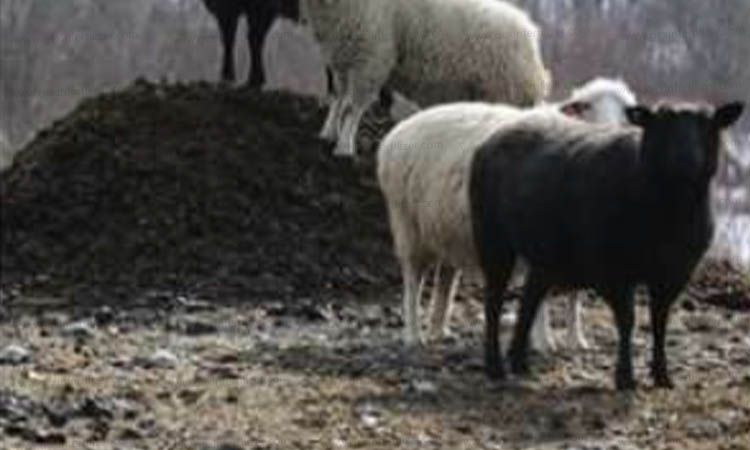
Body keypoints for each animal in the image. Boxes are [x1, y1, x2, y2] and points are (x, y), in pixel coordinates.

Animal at [300, 0, 551, 156]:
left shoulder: (371, 58)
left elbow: (353, 108)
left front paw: (344, 147)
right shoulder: (341, 56)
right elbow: (338, 99)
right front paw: (328, 133)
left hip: (502, 92)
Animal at [377, 78, 636, 348]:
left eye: (628, 111)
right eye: (586, 107)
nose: (611, 133)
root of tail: (400, 130)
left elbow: (575, 297)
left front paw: (576, 340)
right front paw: (543, 341)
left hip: (445, 225)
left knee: (446, 277)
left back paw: (439, 330)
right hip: (408, 225)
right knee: (412, 280)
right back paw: (413, 335)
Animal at [469, 100, 744, 390]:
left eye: (708, 124)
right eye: (662, 123)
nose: (686, 158)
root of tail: (493, 140)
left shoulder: (674, 272)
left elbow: (660, 321)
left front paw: (662, 375)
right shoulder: (611, 269)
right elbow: (628, 320)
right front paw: (625, 376)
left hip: (548, 255)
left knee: (530, 298)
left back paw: (520, 362)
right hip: (492, 239)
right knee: (493, 302)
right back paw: (495, 367)